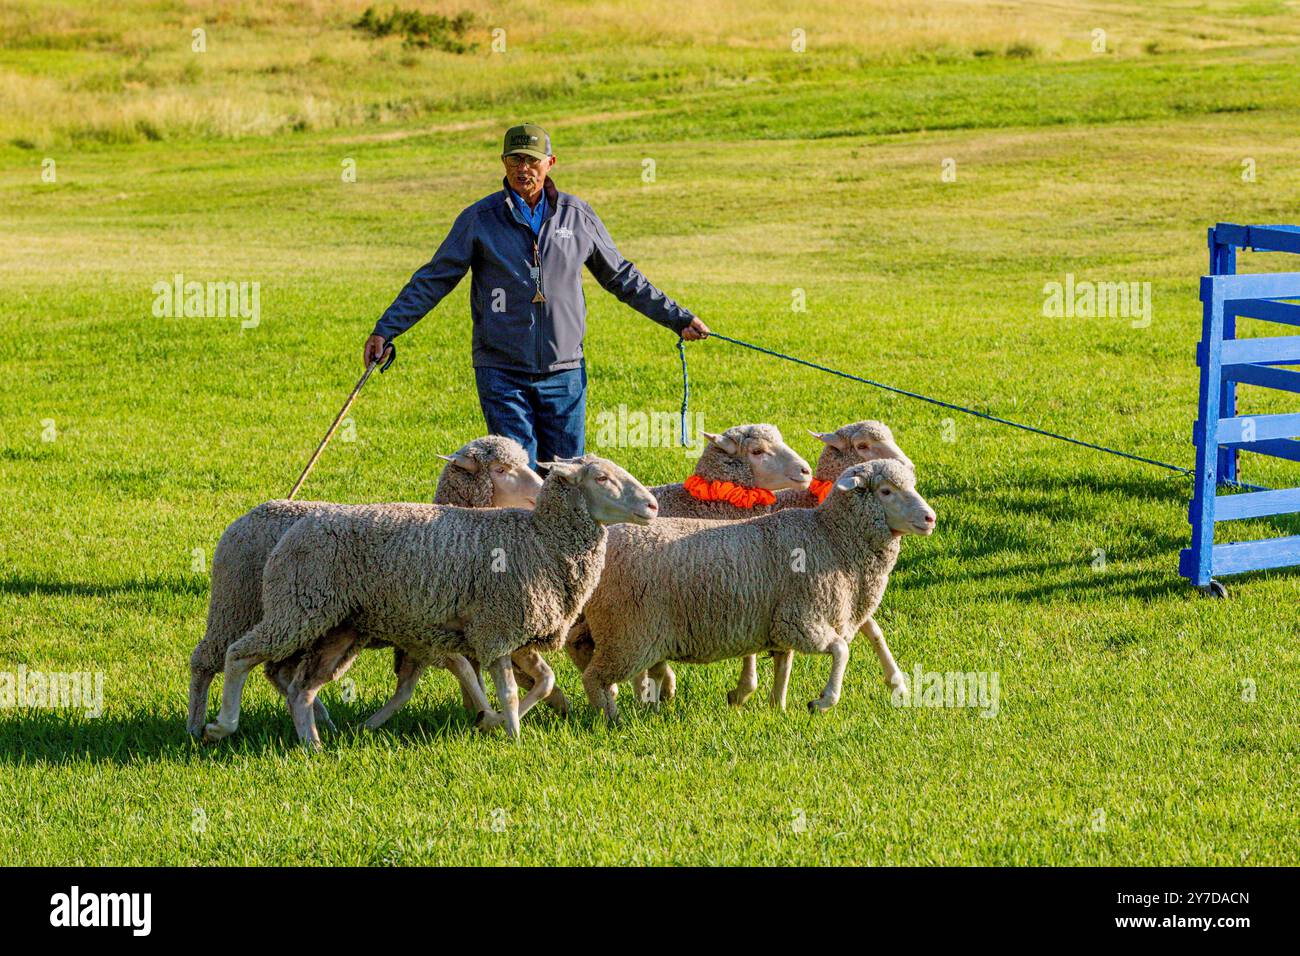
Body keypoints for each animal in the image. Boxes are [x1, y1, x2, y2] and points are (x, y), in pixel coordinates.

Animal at [185, 435, 543, 738]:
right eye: (500, 469)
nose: (542, 488)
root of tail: (246, 517)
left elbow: (463, 673)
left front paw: (482, 712)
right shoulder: (427, 632)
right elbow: (464, 671)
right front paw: (491, 715)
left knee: (278, 671)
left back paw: (319, 719)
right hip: (238, 606)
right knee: (208, 659)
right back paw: (198, 726)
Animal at [201, 455, 658, 745]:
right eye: (601, 478)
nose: (652, 505)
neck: (541, 539)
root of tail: (295, 524)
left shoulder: (515, 633)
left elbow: (544, 682)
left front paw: (493, 722)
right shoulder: (494, 629)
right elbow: (509, 691)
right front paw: (512, 737)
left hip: (336, 628)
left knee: (300, 689)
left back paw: (312, 745)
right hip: (297, 608)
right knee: (238, 655)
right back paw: (218, 727)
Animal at [578, 459, 935, 723]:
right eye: (886, 491)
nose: (930, 518)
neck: (830, 536)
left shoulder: (781, 623)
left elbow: (784, 666)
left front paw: (777, 708)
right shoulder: (801, 620)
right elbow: (840, 651)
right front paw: (822, 701)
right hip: (626, 631)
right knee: (595, 677)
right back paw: (610, 719)